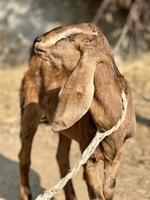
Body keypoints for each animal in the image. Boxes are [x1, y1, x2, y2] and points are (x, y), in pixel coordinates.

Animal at [18, 23, 136, 200]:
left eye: (69, 38)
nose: (38, 40)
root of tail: (33, 61)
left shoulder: (117, 156)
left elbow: (109, 189)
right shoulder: (88, 155)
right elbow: (96, 193)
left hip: (64, 128)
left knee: (61, 156)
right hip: (29, 110)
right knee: (24, 155)